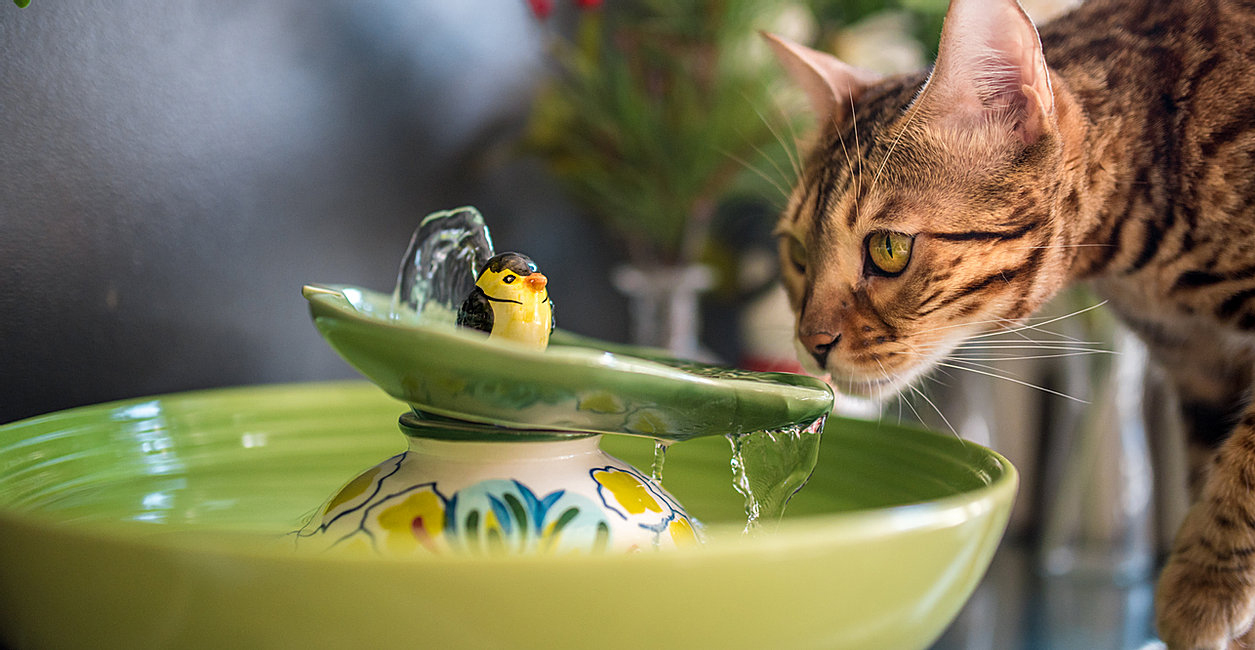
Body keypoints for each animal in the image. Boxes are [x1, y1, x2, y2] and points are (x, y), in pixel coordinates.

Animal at [763, 0, 1255, 647]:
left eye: (889, 248)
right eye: (798, 253)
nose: (811, 342)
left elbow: (1245, 469)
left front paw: (1205, 588)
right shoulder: (1201, 369)